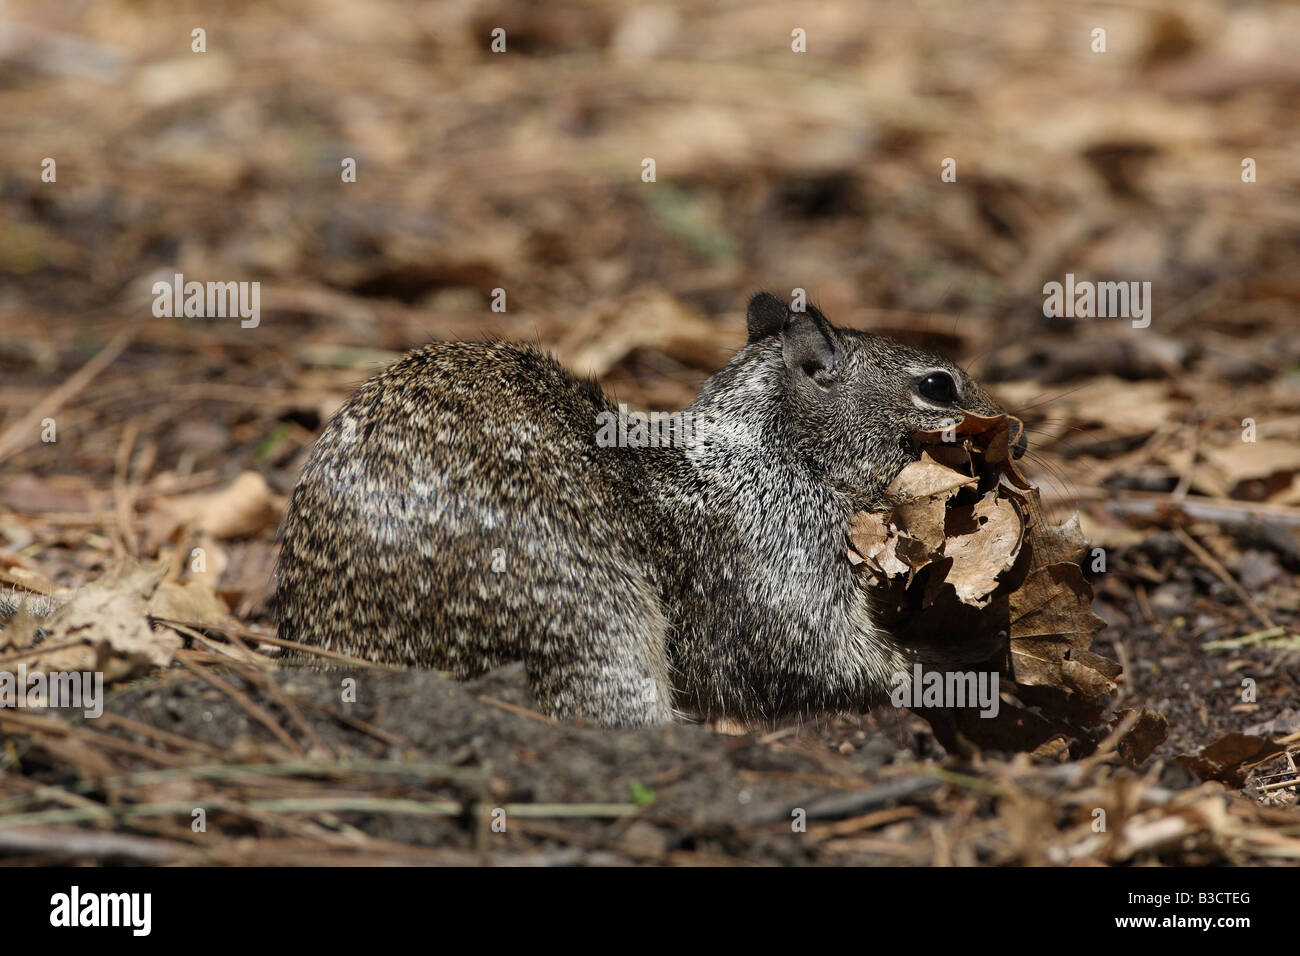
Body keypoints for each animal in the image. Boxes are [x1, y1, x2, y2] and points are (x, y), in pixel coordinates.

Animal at [276, 291, 1024, 723]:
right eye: (938, 386)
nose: (1017, 434)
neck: (769, 446)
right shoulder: (775, 560)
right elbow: (820, 658)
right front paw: (964, 664)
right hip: (597, 625)